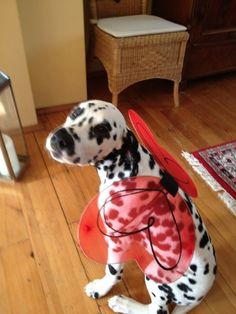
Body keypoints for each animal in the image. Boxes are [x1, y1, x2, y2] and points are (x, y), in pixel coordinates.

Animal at [45, 100, 217, 314]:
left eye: (102, 129)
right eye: (76, 112)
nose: (60, 138)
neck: (125, 170)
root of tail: (203, 294)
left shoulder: (118, 241)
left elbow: (112, 271)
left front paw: (101, 288)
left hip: (155, 274)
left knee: (157, 310)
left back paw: (124, 303)